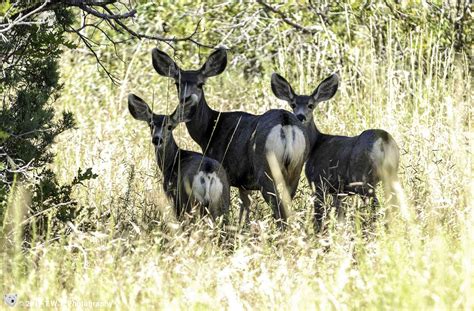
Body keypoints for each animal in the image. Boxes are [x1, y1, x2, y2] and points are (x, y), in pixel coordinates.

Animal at [150, 48, 310, 229]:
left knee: (278, 208)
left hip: (267, 169)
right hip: (295, 170)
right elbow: (245, 208)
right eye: (177, 83)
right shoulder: (244, 182)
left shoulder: (228, 172)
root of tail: (286, 123)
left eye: (200, 84)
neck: (210, 130)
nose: (186, 99)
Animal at [270, 72, 400, 229]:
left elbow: (318, 216)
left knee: (376, 205)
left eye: (311, 105)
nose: (300, 116)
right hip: (391, 175)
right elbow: (339, 216)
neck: (315, 145)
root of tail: (383, 140)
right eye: (293, 104)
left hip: (363, 179)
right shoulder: (338, 191)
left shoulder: (319, 182)